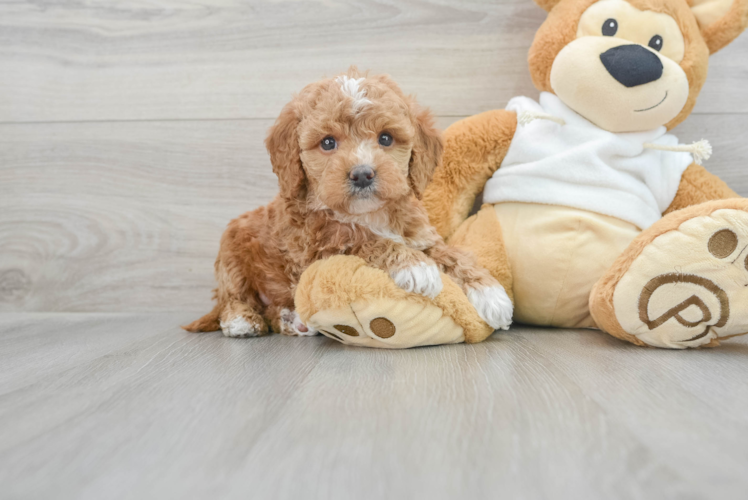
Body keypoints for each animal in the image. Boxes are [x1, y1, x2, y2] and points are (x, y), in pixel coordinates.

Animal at [187, 68, 516, 338]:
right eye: (328, 142)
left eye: (386, 138)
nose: (362, 174)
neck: (369, 214)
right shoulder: (319, 246)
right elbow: (363, 238)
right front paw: (416, 266)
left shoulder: (421, 235)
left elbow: (451, 255)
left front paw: (491, 293)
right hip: (231, 253)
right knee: (233, 295)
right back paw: (242, 320)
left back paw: (292, 320)